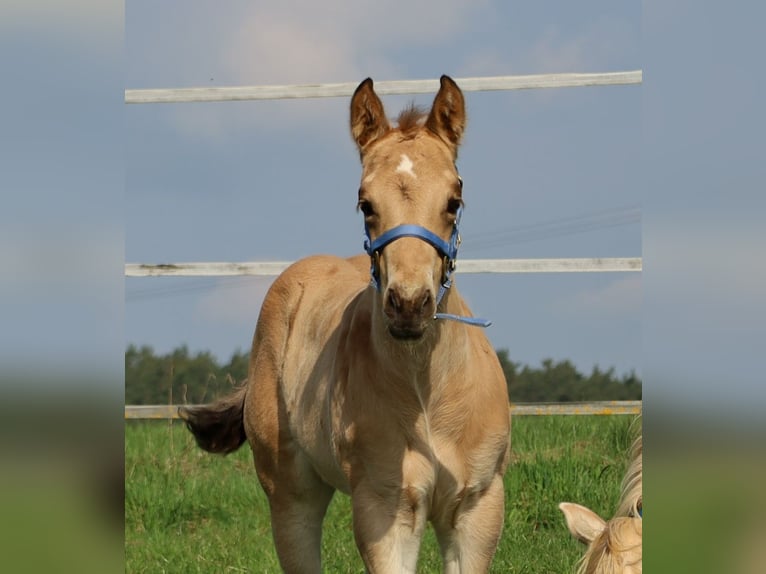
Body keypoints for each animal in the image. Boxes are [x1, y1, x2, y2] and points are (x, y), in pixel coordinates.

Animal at [179, 75, 511, 573]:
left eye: (454, 200)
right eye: (365, 204)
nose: (408, 305)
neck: (427, 397)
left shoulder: (478, 508)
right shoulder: (384, 507)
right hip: (291, 495)